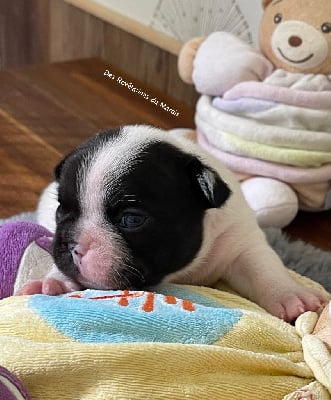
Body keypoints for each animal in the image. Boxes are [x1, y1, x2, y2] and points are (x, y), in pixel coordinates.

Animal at [19, 125, 326, 322]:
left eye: (132, 219)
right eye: (62, 209)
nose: (73, 245)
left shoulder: (240, 241)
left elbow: (263, 268)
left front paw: (291, 295)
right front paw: (53, 282)